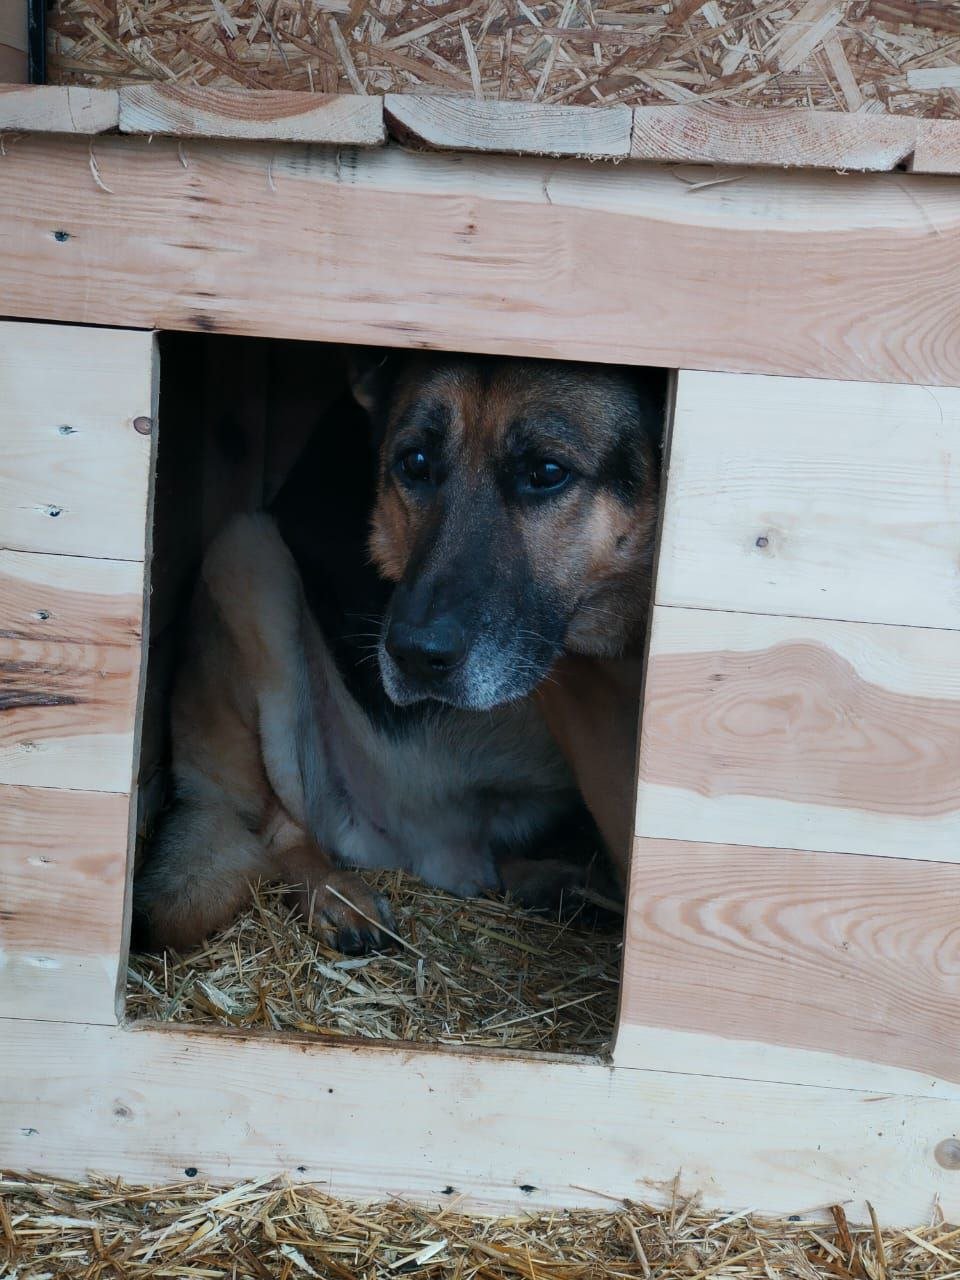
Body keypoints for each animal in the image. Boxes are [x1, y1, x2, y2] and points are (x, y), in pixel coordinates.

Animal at [133, 348, 660, 952]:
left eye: (547, 473)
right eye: (415, 462)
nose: (415, 656)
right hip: (246, 553)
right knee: (277, 828)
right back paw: (336, 895)